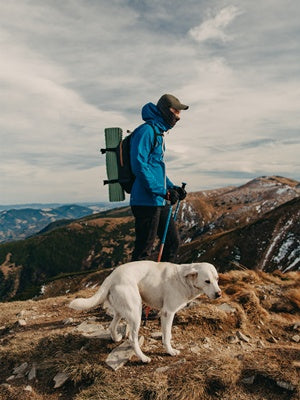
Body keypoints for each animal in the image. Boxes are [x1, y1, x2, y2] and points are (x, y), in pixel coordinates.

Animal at [69, 260, 220, 364]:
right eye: (207, 281)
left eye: (217, 279)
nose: (219, 294)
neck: (184, 279)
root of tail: (111, 276)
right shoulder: (167, 312)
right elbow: (166, 335)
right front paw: (170, 351)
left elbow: (168, 334)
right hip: (136, 312)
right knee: (132, 338)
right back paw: (143, 358)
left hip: (121, 311)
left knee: (111, 326)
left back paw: (116, 338)